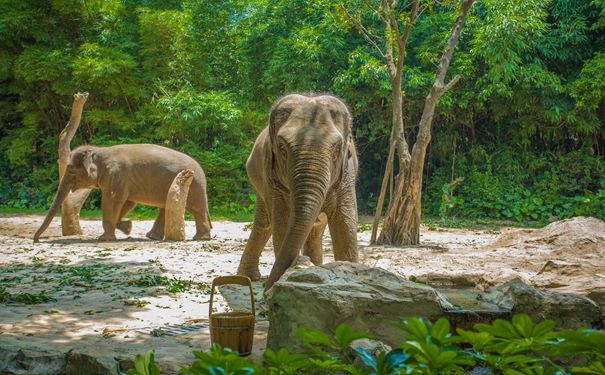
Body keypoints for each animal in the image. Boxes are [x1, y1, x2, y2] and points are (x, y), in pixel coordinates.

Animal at [33, 144, 212, 244]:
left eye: (70, 169)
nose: (36, 240)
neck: (99, 150)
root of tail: (201, 169)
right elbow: (127, 202)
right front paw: (127, 227)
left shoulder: (116, 176)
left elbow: (112, 200)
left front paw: (104, 239)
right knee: (166, 208)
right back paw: (152, 237)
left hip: (193, 186)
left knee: (197, 209)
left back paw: (200, 239)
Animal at [236, 93, 358, 290]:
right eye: (282, 148)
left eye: (337, 149)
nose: (268, 289)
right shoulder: (272, 178)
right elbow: (282, 223)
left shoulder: (346, 175)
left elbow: (345, 224)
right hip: (259, 182)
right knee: (264, 224)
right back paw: (248, 277)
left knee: (315, 228)